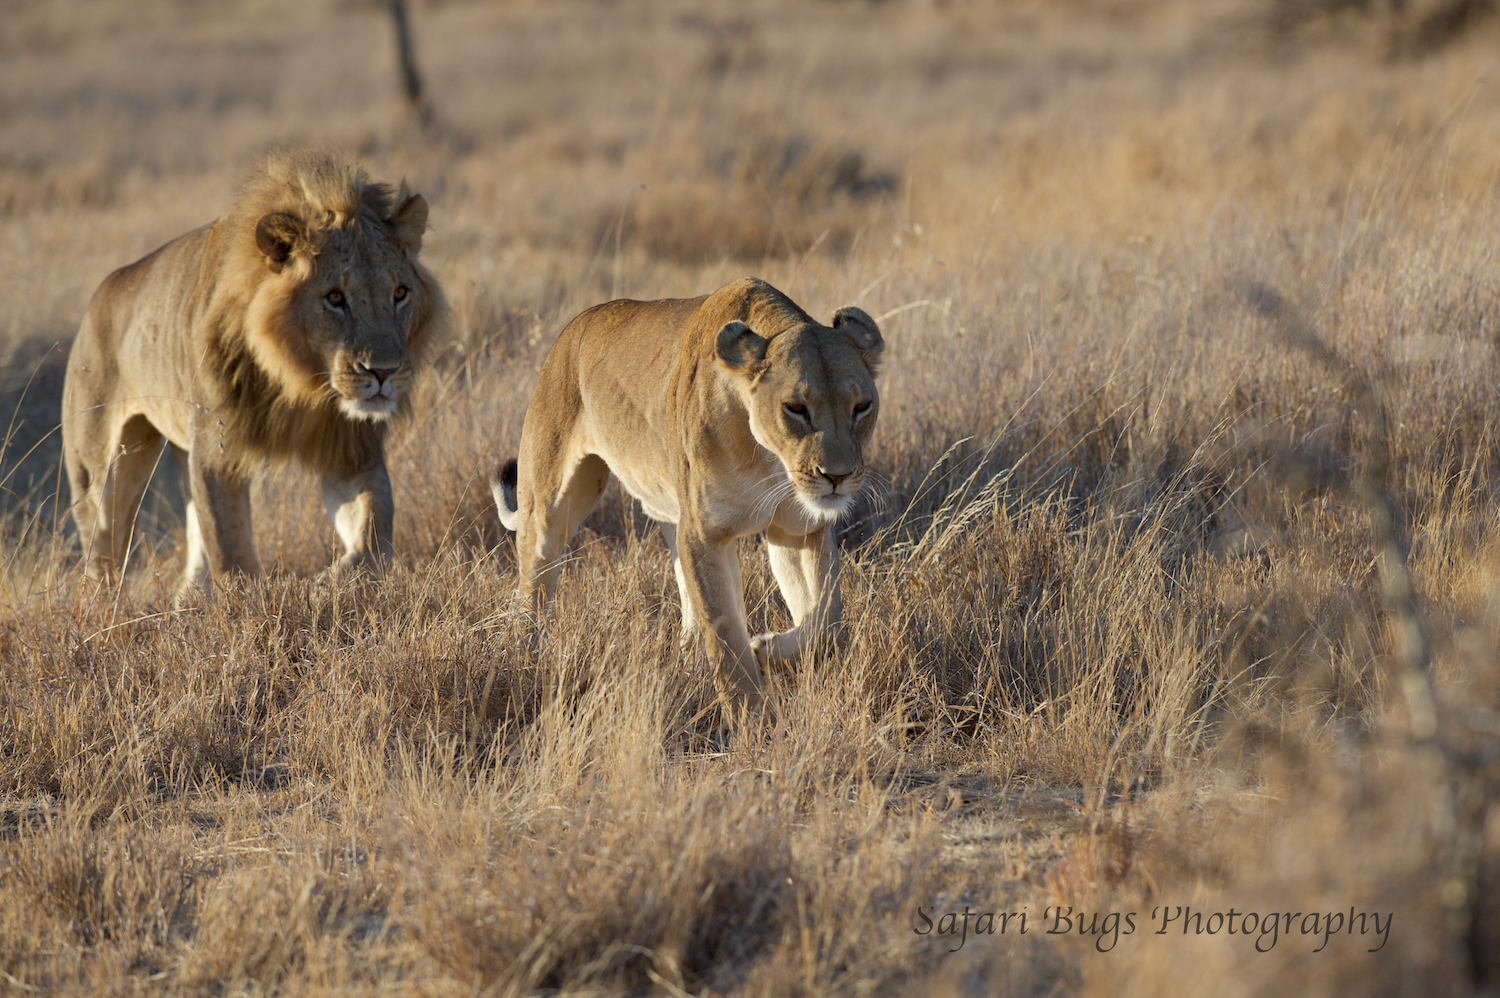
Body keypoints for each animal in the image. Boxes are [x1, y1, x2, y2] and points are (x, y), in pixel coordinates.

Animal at [63, 150, 444, 600]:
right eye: (335, 298)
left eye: (400, 293)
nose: (384, 371)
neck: (302, 380)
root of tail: (101, 294)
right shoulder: (217, 448)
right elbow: (231, 551)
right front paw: (251, 604)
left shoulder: (350, 448)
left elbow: (373, 534)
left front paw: (329, 583)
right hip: (106, 465)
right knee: (102, 542)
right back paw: (102, 607)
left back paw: (188, 602)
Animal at [498, 274, 882, 708]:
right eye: (796, 409)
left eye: (862, 407)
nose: (837, 476)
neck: (771, 460)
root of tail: (572, 328)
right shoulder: (705, 534)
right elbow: (726, 640)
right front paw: (753, 718)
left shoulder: (798, 528)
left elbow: (826, 625)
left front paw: (765, 650)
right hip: (549, 505)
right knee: (533, 584)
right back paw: (523, 663)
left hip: (672, 515)